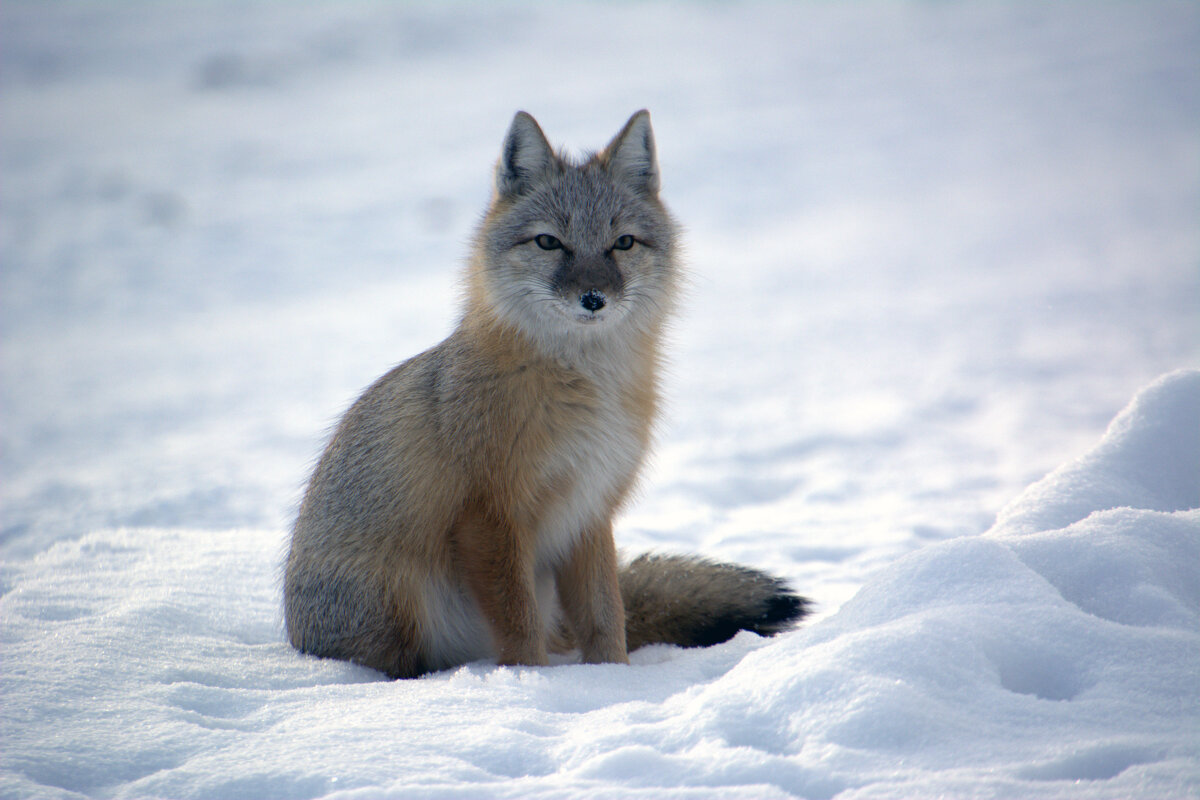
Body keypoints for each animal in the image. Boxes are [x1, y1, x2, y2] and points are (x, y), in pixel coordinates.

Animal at [283, 109, 806, 681]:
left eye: (623, 243)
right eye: (550, 243)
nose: (594, 299)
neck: (587, 394)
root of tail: (296, 636)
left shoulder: (589, 508)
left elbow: (606, 613)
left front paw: (610, 680)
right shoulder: (490, 511)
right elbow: (517, 617)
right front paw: (529, 681)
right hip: (400, 609)